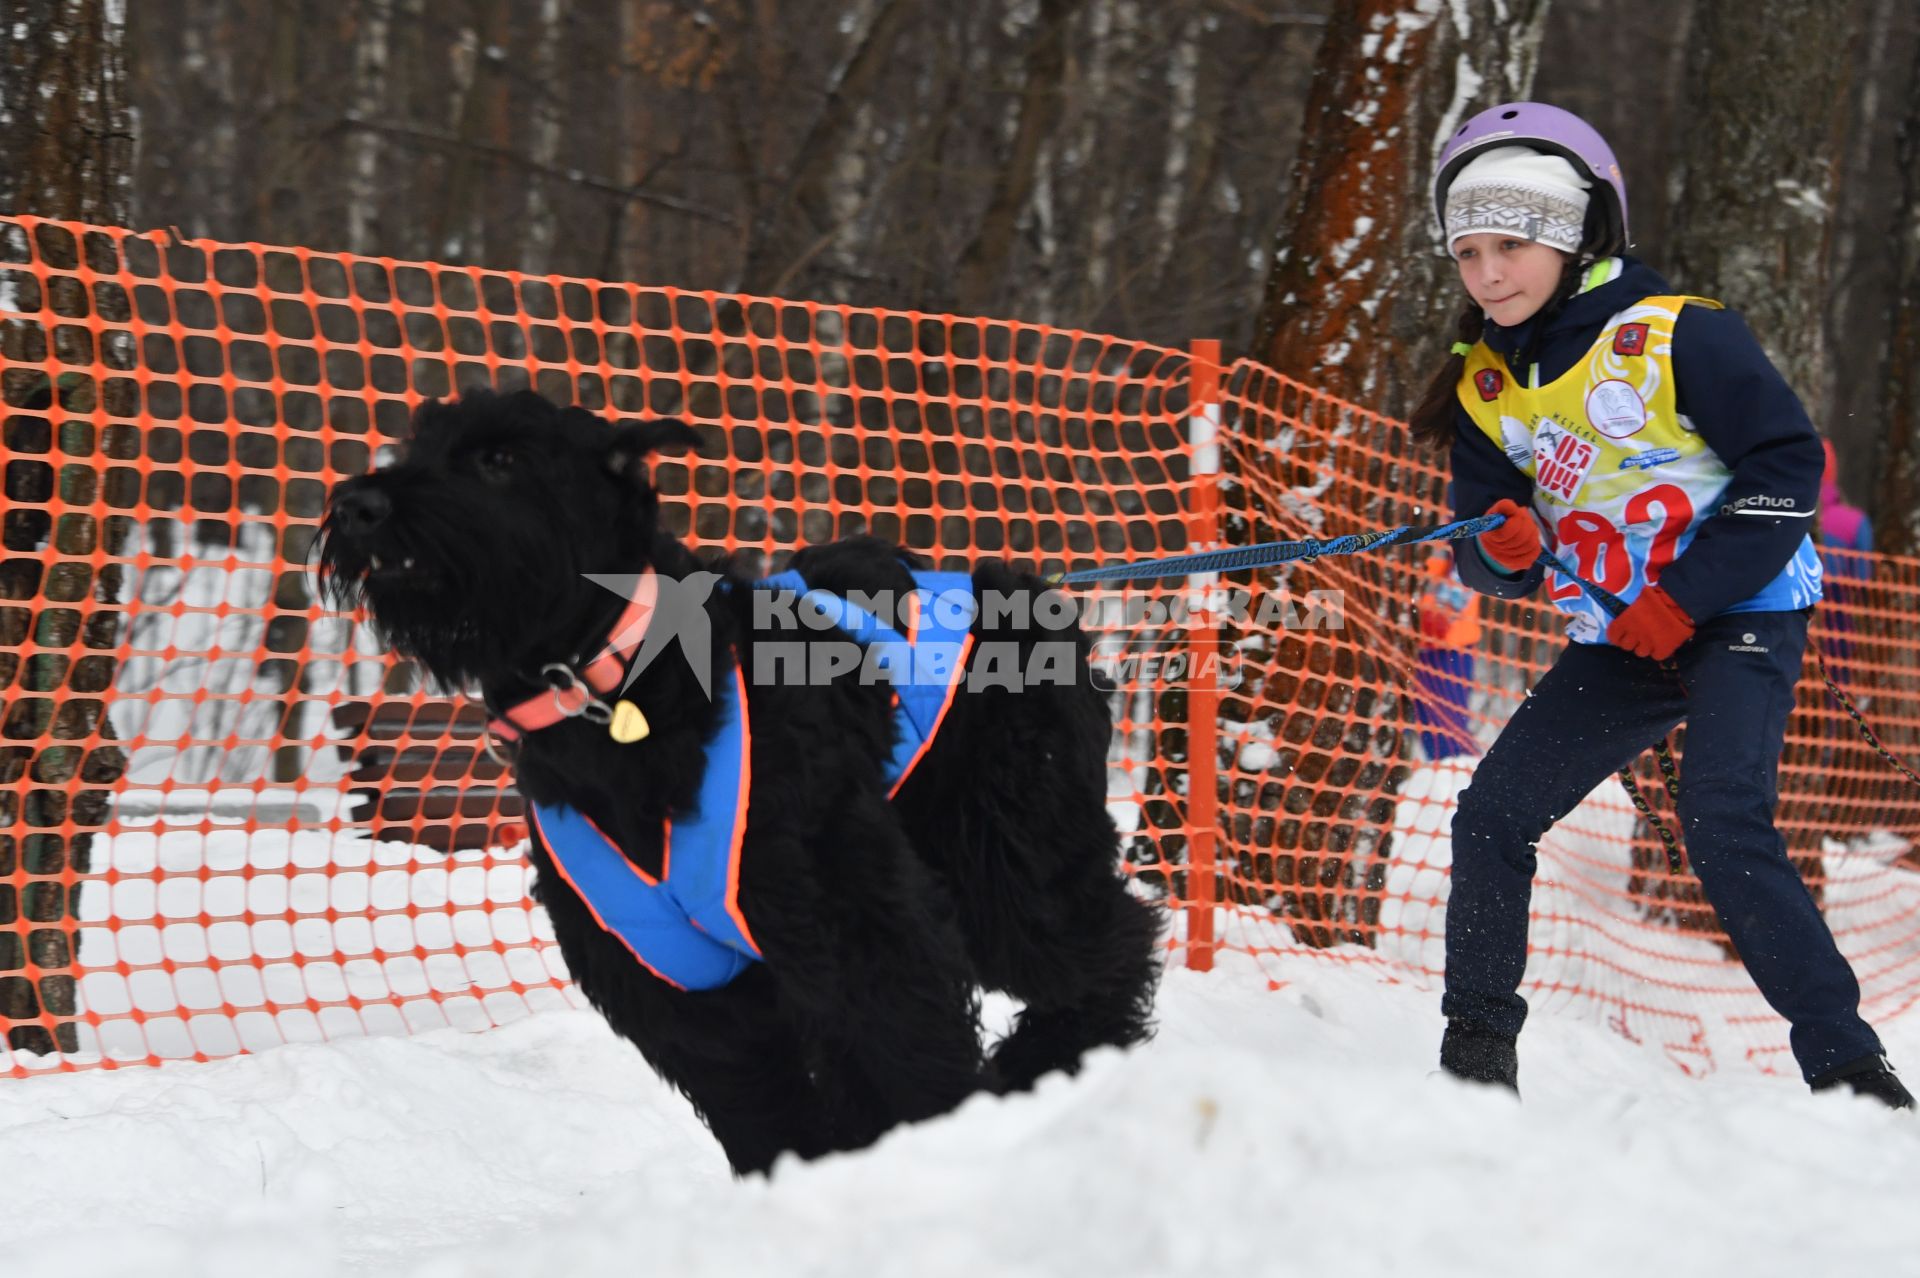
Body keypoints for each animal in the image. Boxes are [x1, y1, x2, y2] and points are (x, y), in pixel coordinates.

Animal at [318, 391, 1152, 1174]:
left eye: (499, 458)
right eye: (416, 445)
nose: (359, 506)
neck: (616, 691)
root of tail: (1021, 585)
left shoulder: (860, 927)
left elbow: (910, 1061)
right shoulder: (679, 985)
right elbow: (769, 1112)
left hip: (1008, 863)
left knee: (1111, 940)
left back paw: (1047, 1064)